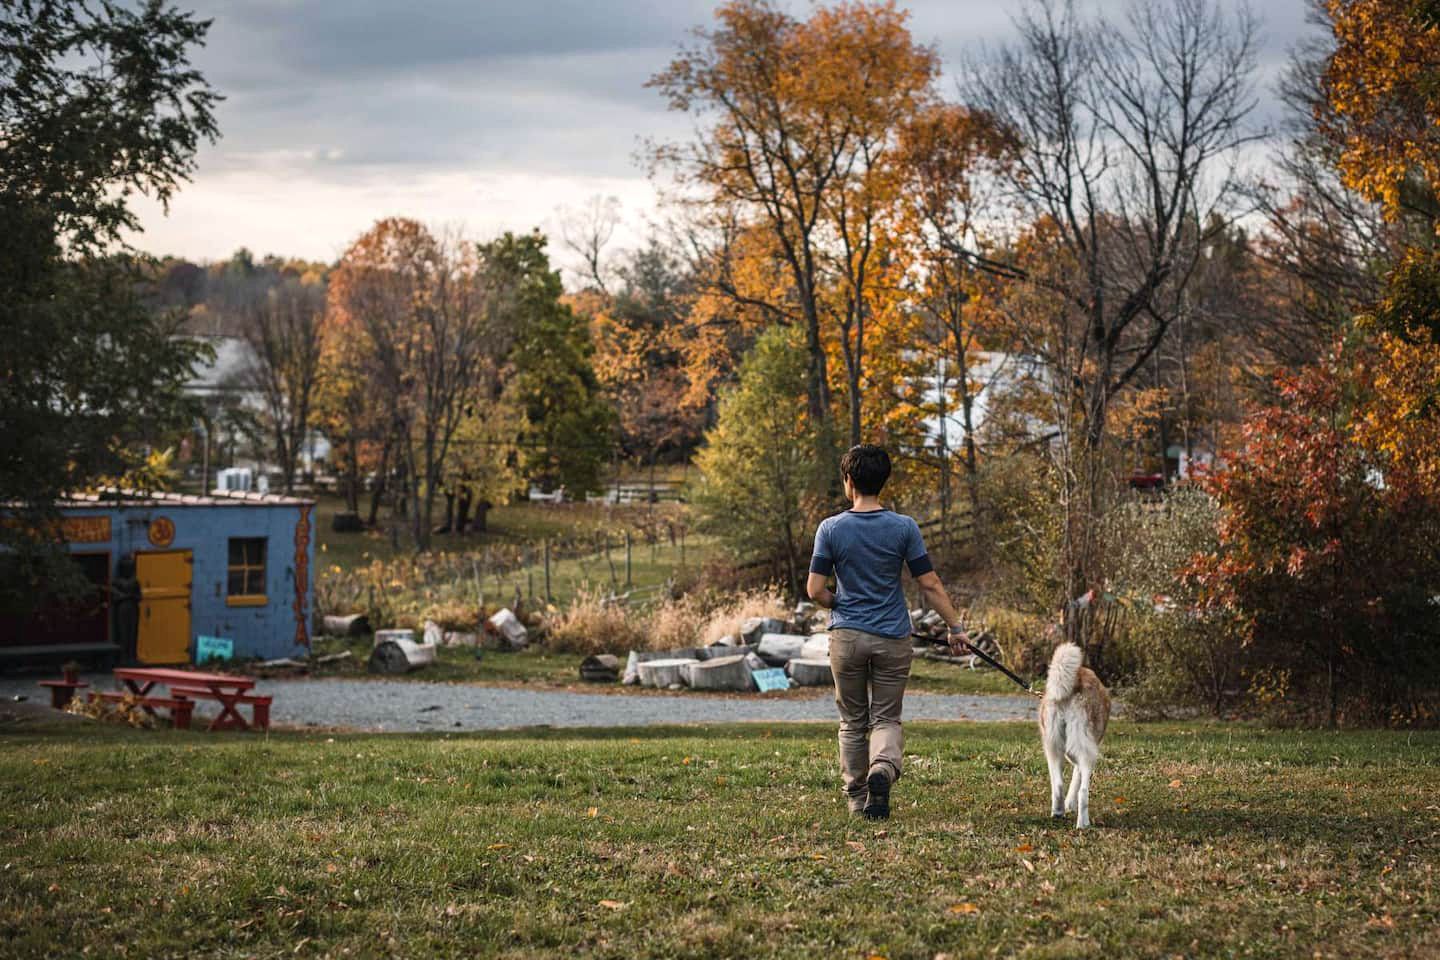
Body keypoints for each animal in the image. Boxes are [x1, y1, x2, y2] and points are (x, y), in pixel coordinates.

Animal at [1042, 641, 1105, 829]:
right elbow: (1077, 780)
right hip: (1085, 752)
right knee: (1083, 791)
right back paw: (1083, 823)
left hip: (1052, 747)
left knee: (1058, 785)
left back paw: (1058, 812)